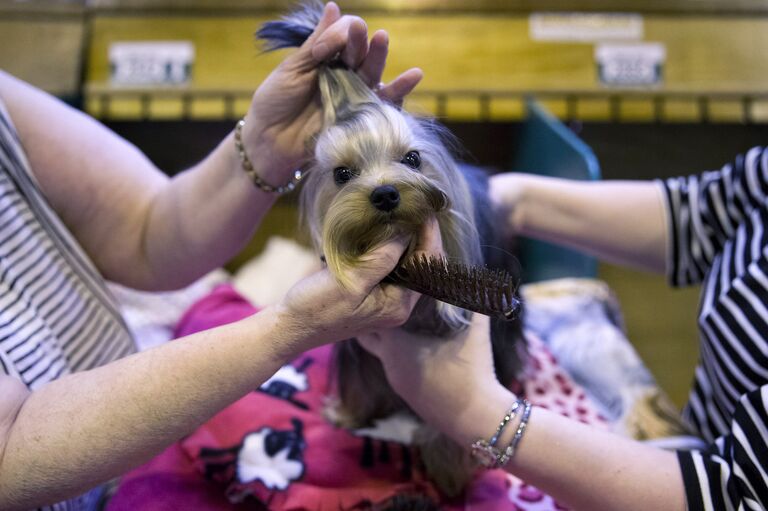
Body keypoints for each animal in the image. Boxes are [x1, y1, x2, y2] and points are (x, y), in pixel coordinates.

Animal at [256, 2, 520, 500]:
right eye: (342, 174)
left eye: (412, 159)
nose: (384, 194)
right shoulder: (360, 352)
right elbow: (361, 386)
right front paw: (349, 416)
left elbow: (448, 425)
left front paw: (449, 475)